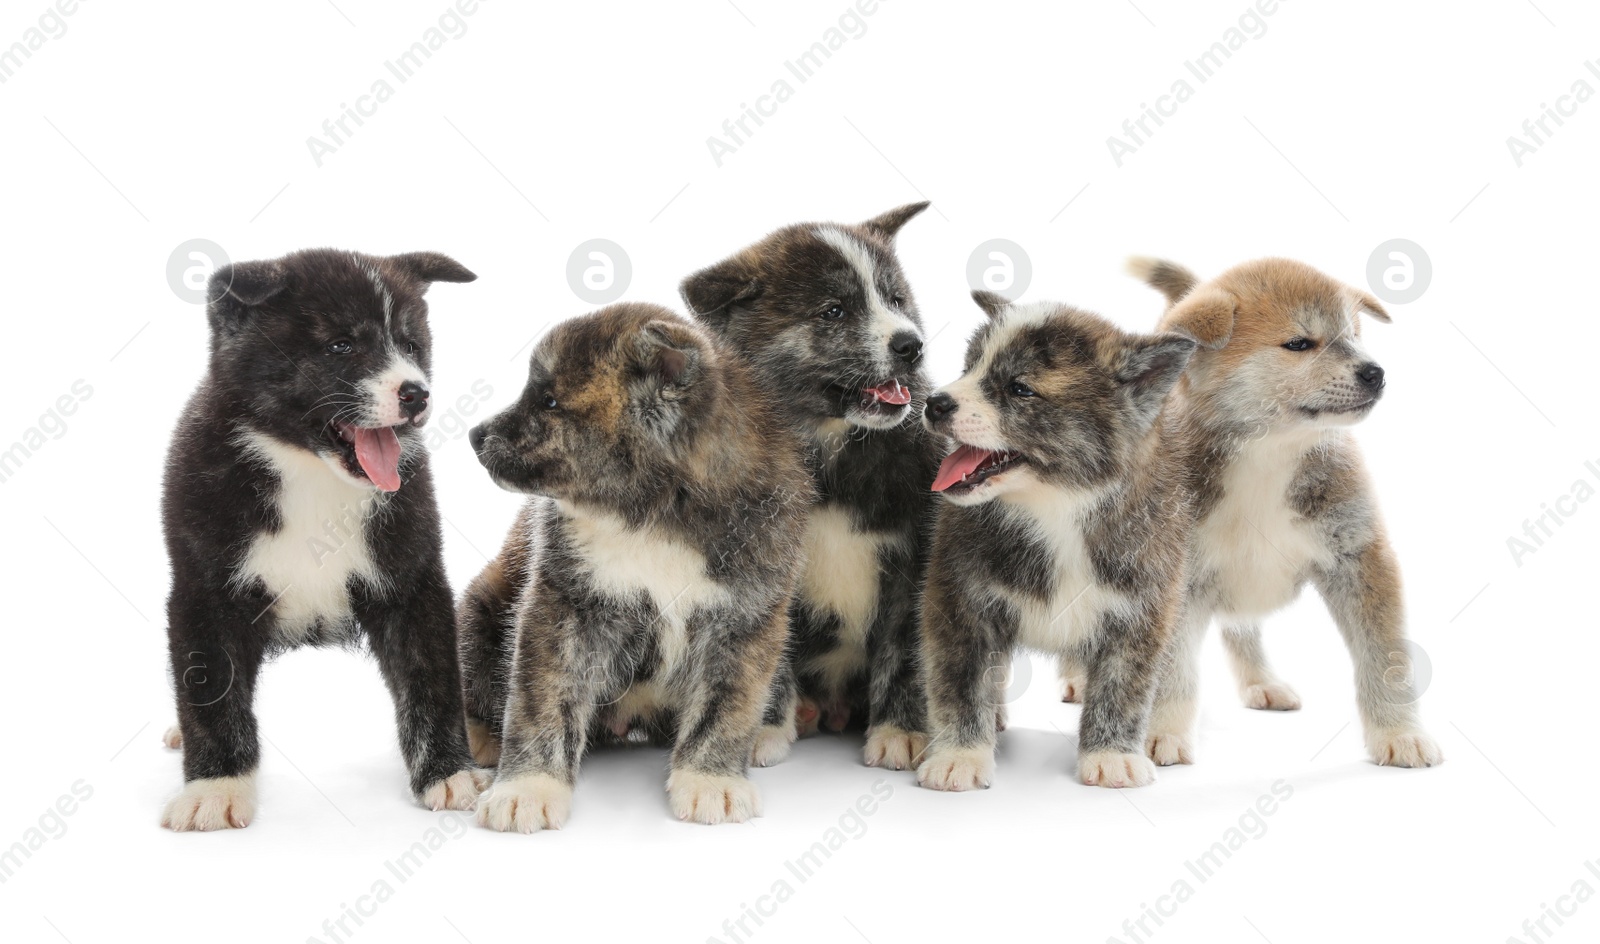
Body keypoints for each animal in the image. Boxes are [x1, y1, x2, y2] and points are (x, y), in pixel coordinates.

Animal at [464, 304, 812, 832]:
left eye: (549, 400)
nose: (473, 435)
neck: (655, 515)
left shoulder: (746, 617)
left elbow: (726, 707)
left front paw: (710, 779)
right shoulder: (563, 607)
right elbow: (540, 703)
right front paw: (527, 788)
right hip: (480, 607)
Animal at [681, 203, 940, 774]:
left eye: (895, 299)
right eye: (833, 312)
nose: (912, 345)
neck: (832, 458)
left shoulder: (914, 564)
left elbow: (906, 653)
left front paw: (901, 731)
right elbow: (768, 654)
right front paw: (762, 729)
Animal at [908, 294, 1196, 790]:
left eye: (1020, 389)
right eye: (969, 366)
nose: (935, 402)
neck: (1057, 508)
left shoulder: (1143, 607)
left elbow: (1124, 684)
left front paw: (1112, 754)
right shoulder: (959, 599)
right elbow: (960, 681)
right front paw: (961, 754)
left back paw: (1165, 730)